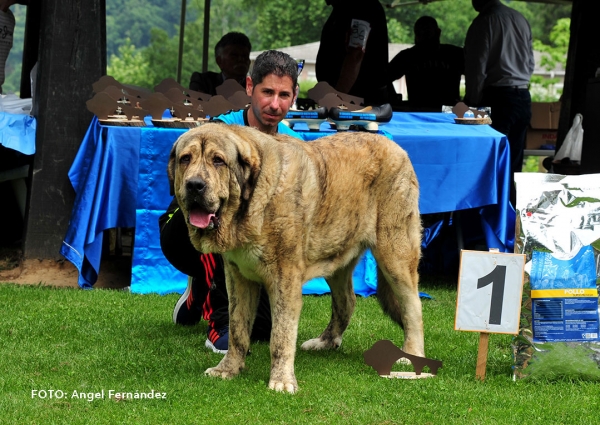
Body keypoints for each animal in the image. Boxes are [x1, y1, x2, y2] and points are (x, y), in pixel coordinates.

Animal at [166, 121, 424, 390]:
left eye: (218, 160)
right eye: (185, 159)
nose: (195, 185)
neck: (251, 205)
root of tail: (397, 148)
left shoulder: (284, 279)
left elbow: (281, 335)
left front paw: (281, 380)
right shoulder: (238, 278)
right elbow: (237, 328)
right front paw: (228, 369)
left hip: (394, 254)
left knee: (412, 306)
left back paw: (411, 354)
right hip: (336, 256)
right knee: (347, 301)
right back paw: (325, 341)